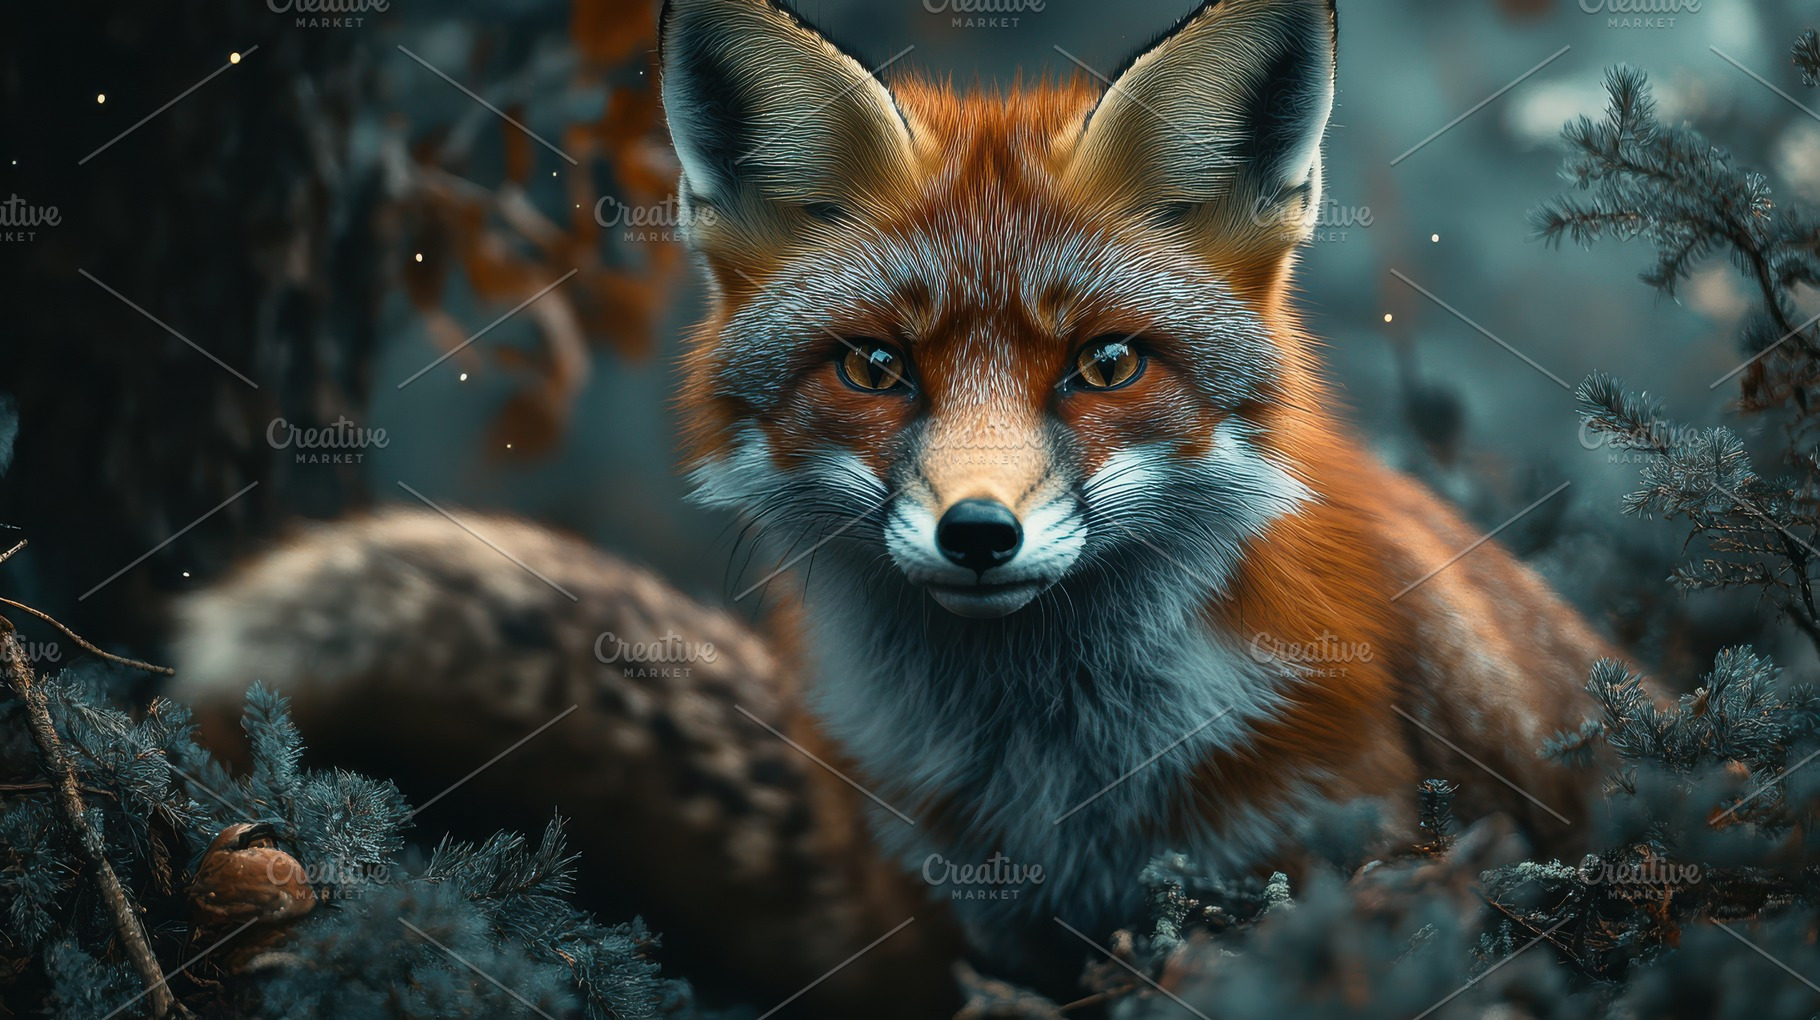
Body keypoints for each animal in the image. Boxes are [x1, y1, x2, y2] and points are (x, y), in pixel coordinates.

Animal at [172, 0, 1617, 1009]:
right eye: (875, 367)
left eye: (1105, 365)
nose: (979, 534)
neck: (1057, 771)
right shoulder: (964, 933)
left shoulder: (1337, 859)